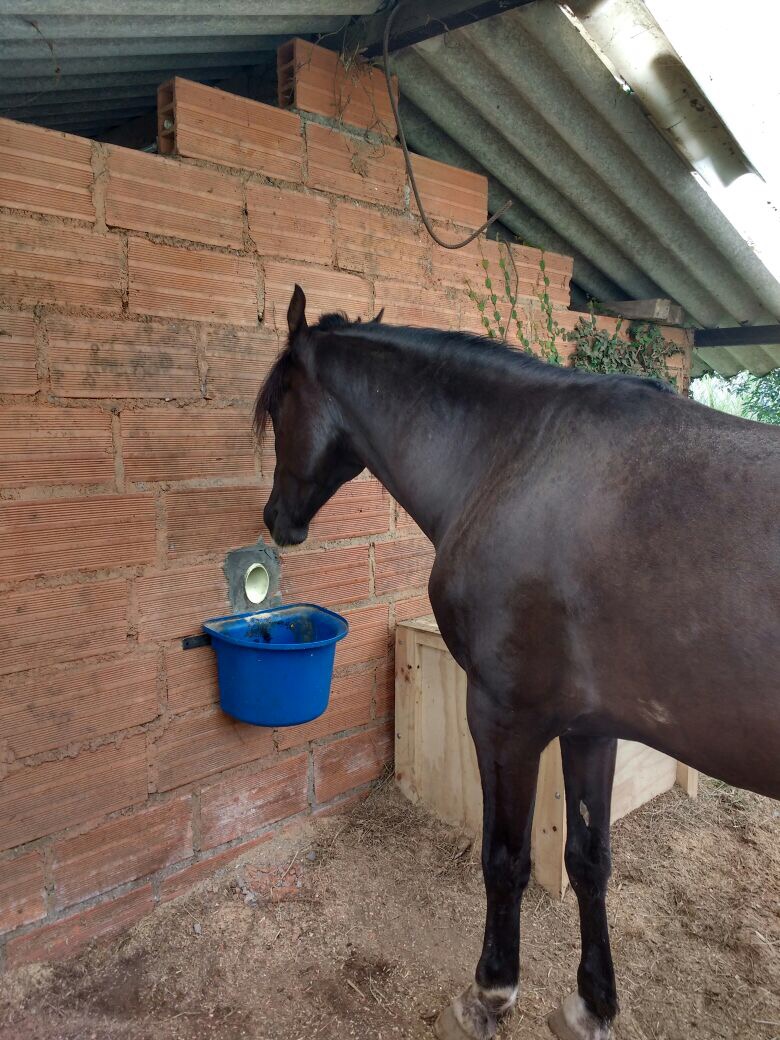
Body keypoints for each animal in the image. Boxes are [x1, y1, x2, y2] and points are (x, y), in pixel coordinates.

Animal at [255, 285, 779, 1040]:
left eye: (278, 404)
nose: (276, 518)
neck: (514, 458)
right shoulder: (592, 726)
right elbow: (589, 858)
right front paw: (593, 1003)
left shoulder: (504, 717)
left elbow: (505, 858)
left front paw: (490, 993)